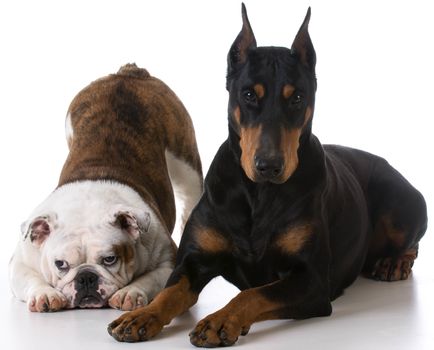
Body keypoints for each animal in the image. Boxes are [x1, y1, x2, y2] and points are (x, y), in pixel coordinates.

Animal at [108, 5, 428, 348]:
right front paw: (141, 315)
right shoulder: (192, 262)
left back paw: (394, 262)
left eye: (297, 98)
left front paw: (220, 320)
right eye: (249, 94)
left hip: (399, 204)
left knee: (412, 240)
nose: (269, 166)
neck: (258, 193)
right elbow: (170, 292)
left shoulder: (312, 281)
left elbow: (253, 294)